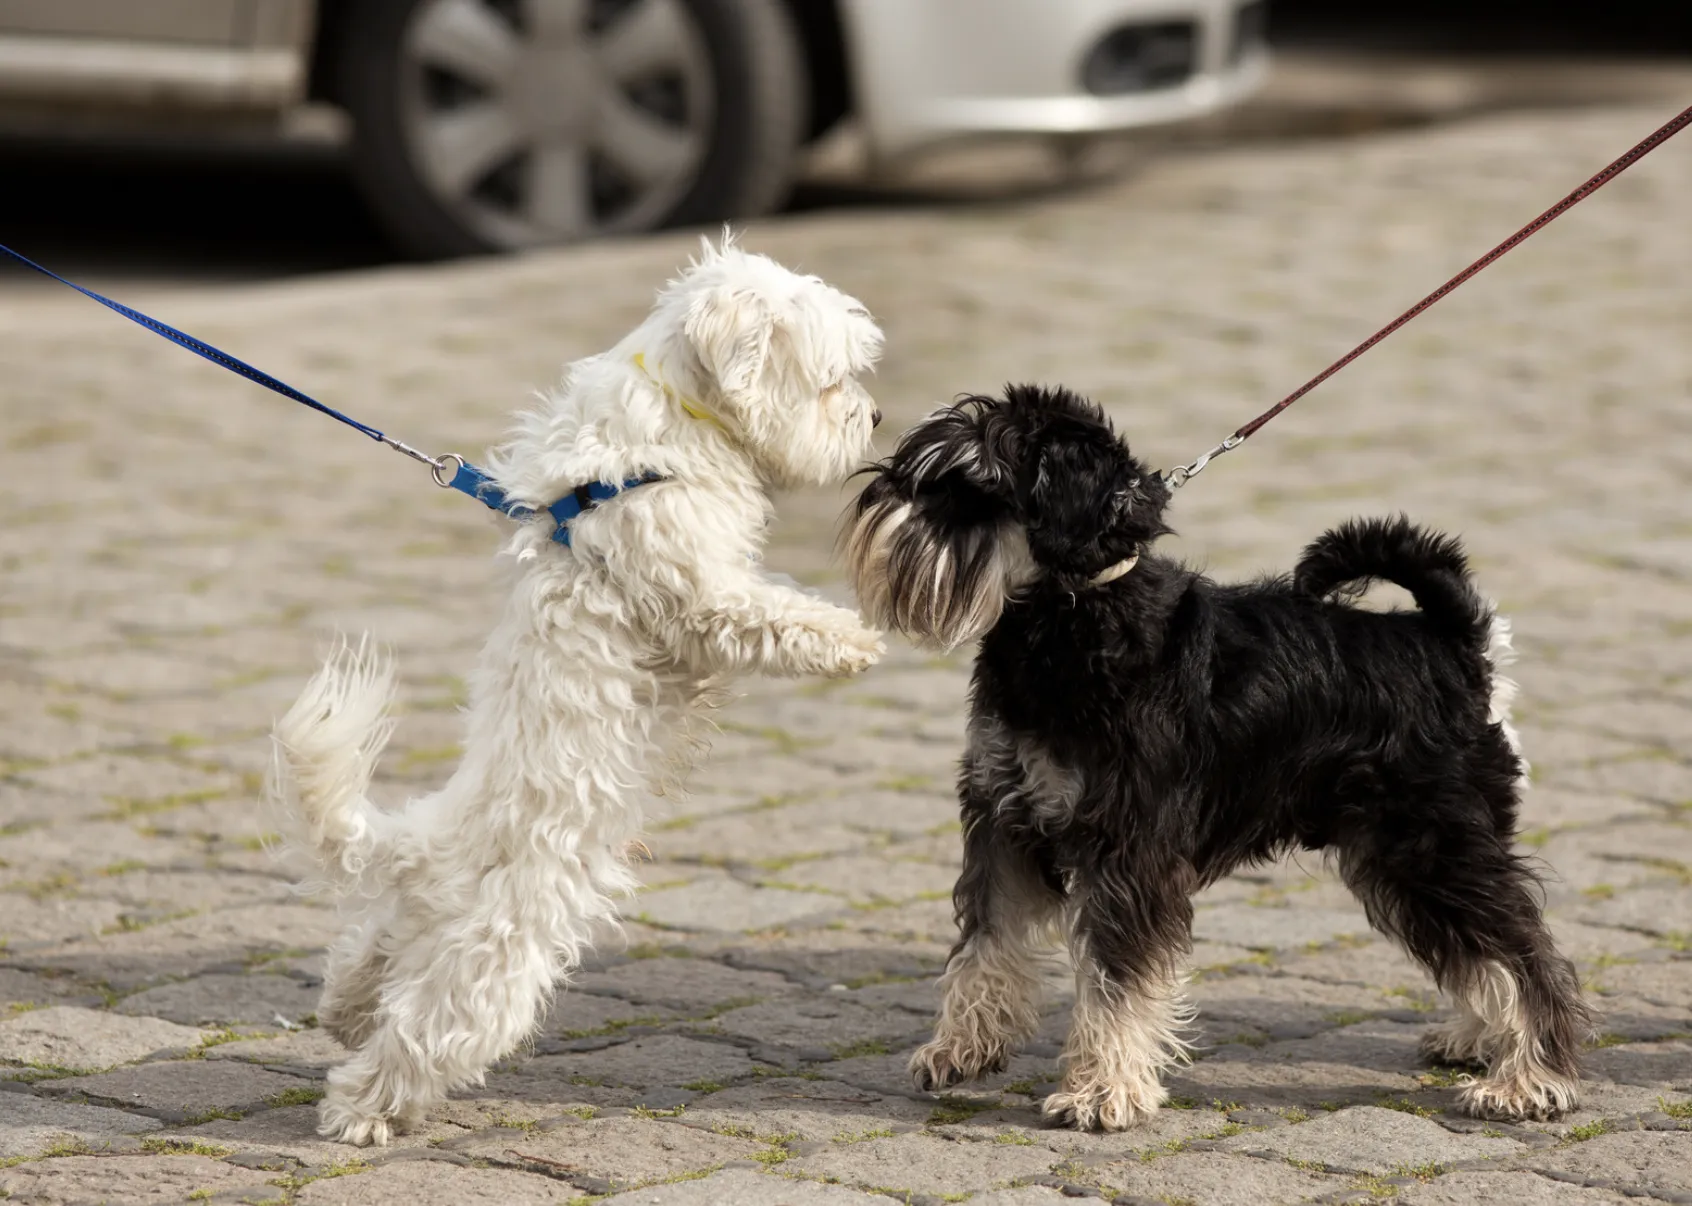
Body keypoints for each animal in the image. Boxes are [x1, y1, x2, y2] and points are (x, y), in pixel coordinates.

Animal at [263, 236, 886, 1150]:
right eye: (833, 379)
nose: (874, 419)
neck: (672, 427)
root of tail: (435, 846)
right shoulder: (702, 593)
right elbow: (773, 614)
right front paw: (853, 640)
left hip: (416, 924)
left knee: (367, 955)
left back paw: (343, 1014)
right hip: (496, 960)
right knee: (427, 1033)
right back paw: (359, 1112)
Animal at [852, 385, 1590, 1129]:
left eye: (970, 486)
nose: (877, 496)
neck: (1073, 618)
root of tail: (1454, 644)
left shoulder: (1127, 850)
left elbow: (1115, 977)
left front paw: (1103, 1091)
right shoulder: (1004, 821)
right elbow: (986, 943)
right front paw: (961, 1047)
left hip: (1432, 845)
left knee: (1526, 953)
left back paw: (1528, 1079)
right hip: (1407, 858)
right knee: (1481, 949)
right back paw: (1478, 1040)